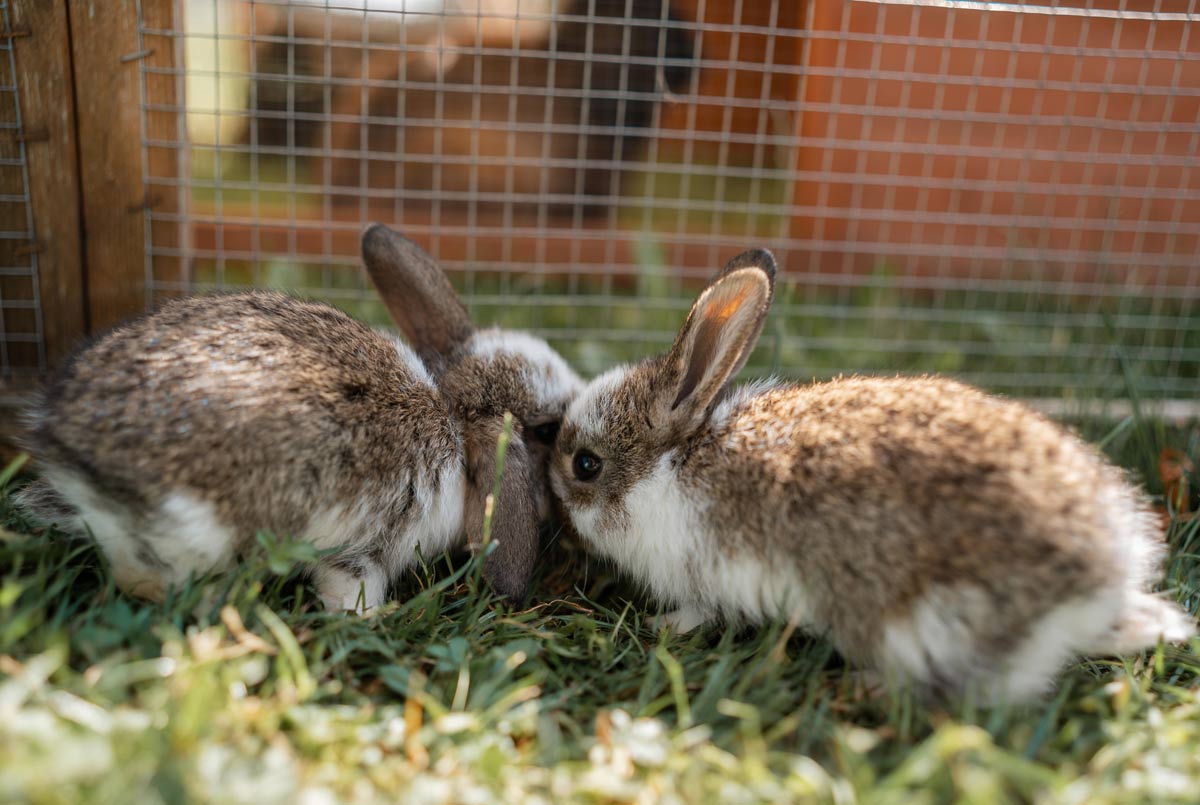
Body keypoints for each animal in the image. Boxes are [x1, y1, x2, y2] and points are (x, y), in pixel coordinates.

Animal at [16, 224, 582, 611]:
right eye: (546, 431)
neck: (452, 417)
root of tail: (69, 449)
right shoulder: (368, 545)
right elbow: (349, 586)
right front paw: (371, 618)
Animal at [549, 248, 1194, 703]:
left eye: (586, 464)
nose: (552, 487)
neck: (671, 463)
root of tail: (1099, 581)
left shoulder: (704, 576)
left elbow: (701, 613)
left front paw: (662, 625)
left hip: (926, 622)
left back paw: (867, 685)